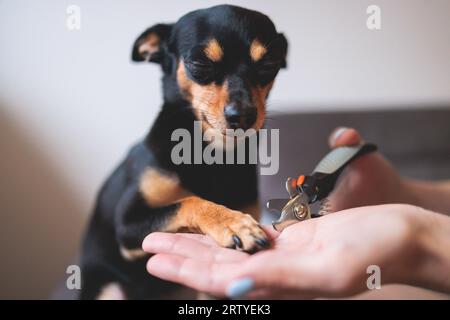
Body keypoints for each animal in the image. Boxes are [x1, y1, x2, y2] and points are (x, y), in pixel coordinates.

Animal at [80, 5, 288, 298]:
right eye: (200, 64)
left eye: (269, 65)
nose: (244, 115)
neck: (212, 155)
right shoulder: (128, 223)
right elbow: (190, 200)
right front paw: (231, 222)